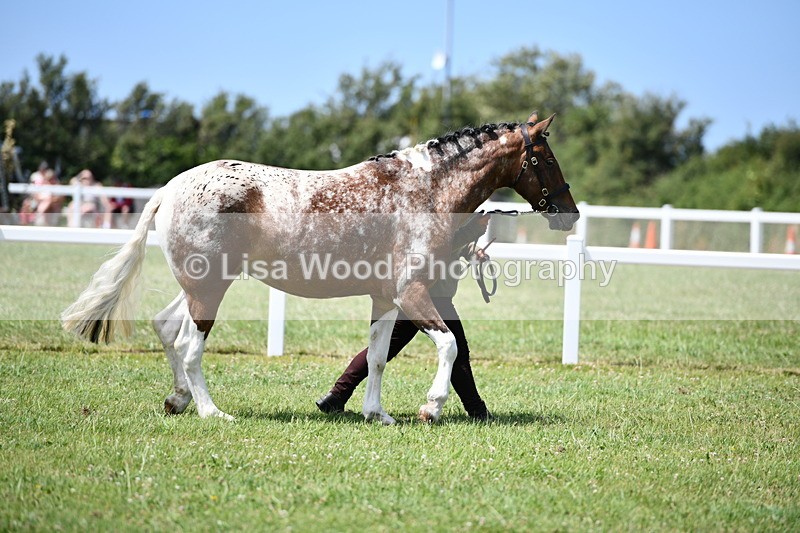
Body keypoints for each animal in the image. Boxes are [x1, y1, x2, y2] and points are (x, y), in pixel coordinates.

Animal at [61, 112, 579, 425]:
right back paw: (211, 412)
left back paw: (178, 399)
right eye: (546, 157)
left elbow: (376, 356)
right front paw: (431, 408)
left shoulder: (385, 298)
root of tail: (170, 189)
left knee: (167, 328)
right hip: (210, 289)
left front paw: (377, 414)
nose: (570, 213)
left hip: (198, 285)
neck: (425, 192)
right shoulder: (412, 293)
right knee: (190, 345)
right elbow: (450, 345)